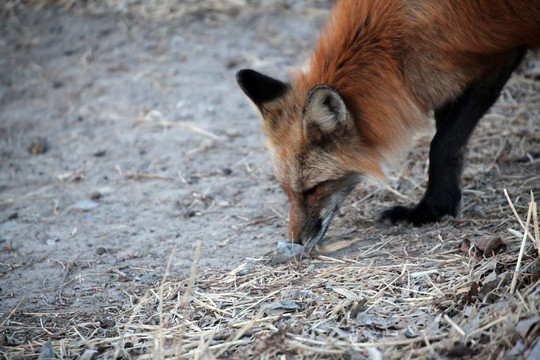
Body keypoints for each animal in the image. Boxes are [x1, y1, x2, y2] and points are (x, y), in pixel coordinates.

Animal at [238, 0, 540, 253]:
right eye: (286, 190)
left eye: (313, 189)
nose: (296, 243)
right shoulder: (444, 76)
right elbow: (451, 140)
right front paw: (444, 202)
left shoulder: (498, 56)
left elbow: (442, 144)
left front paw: (430, 209)